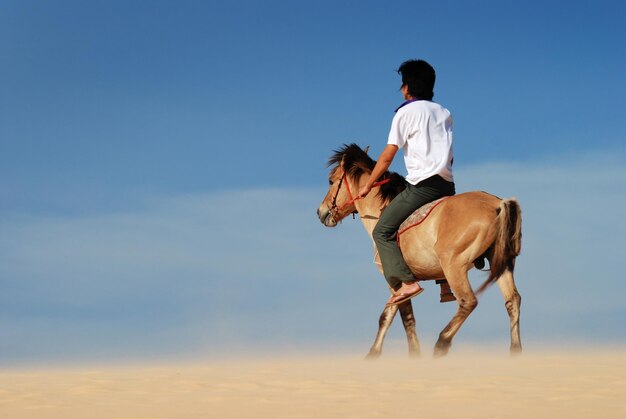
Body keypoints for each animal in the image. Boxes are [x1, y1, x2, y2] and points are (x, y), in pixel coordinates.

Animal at [314, 144, 520, 358]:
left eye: (331, 180)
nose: (321, 212)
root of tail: (497, 204)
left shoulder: (395, 280)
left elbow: (400, 317)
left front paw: (404, 354)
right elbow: (393, 315)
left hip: (453, 265)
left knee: (468, 301)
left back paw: (442, 342)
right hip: (500, 262)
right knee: (512, 300)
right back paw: (516, 350)